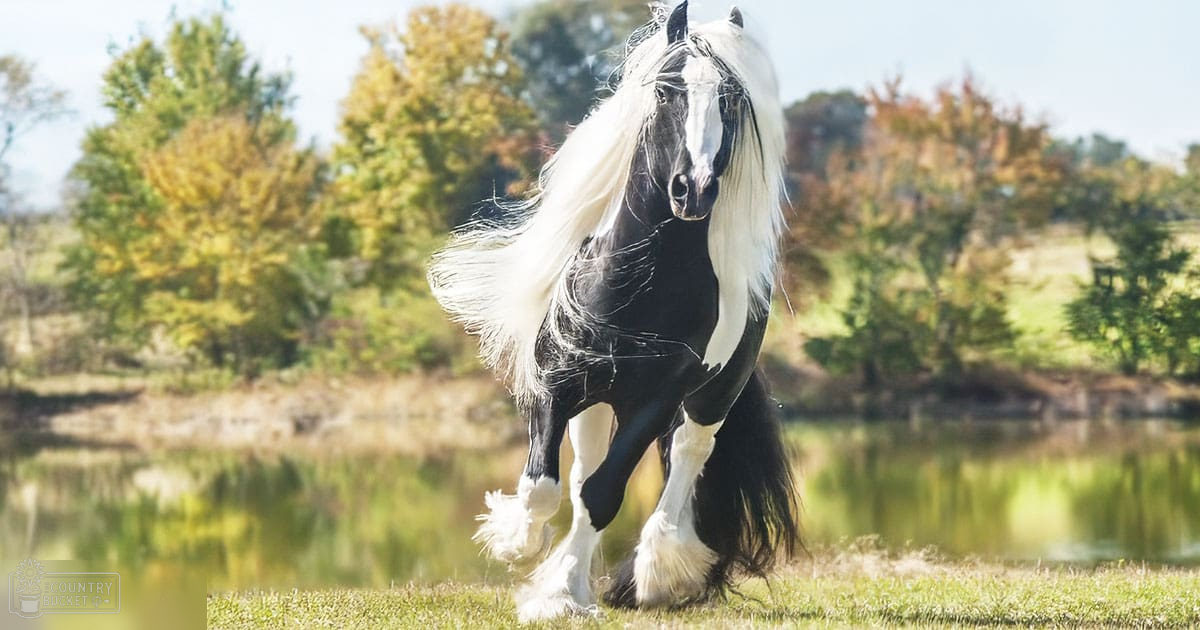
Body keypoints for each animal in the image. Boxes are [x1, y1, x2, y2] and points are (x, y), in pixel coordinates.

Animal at [428, 1, 798, 621]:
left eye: (729, 101)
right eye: (667, 92)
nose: (694, 190)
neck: (638, 283)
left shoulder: (655, 401)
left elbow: (603, 495)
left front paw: (559, 593)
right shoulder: (557, 385)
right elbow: (545, 487)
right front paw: (518, 545)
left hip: (707, 397)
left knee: (687, 455)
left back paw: (657, 575)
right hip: (599, 402)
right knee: (583, 471)